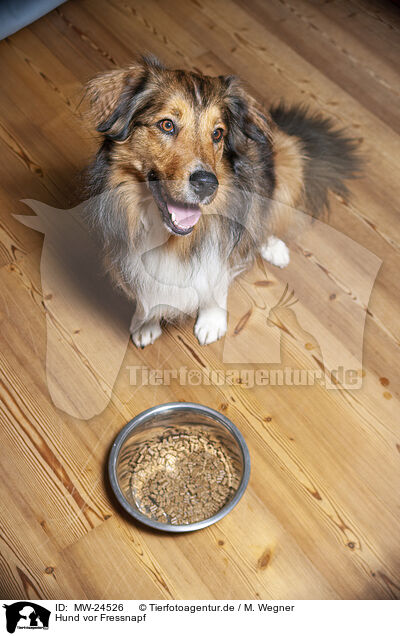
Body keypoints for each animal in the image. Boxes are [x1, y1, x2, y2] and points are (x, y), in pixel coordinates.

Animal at [83, 54, 360, 348]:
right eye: (167, 125)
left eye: (217, 134)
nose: (207, 184)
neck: (173, 240)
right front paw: (146, 320)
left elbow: (217, 278)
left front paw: (212, 320)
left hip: (289, 162)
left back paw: (273, 247)